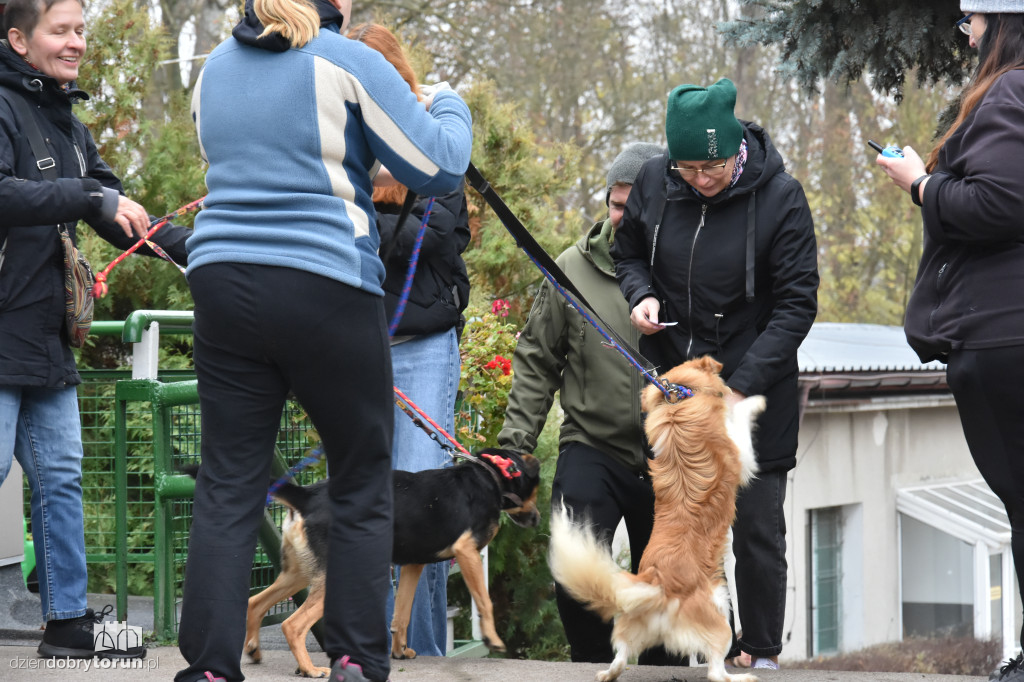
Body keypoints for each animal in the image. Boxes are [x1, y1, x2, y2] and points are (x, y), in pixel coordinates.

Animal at [548, 356, 765, 679]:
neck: (678, 401)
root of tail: (657, 583)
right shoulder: (741, 454)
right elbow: (740, 418)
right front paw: (754, 401)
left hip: (632, 629)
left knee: (620, 657)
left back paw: (607, 674)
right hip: (721, 611)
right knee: (715, 670)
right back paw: (742, 676)